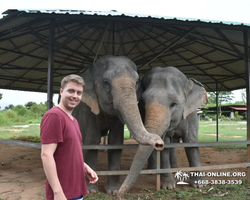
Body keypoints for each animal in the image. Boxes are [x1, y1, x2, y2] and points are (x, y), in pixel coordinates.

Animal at [71, 54, 164, 194]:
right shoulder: (86, 107)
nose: (159, 143)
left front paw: (113, 191)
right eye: (106, 83)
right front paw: (91, 191)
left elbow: (115, 140)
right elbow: (92, 139)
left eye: (137, 82)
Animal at [117, 66, 209, 199]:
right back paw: (153, 171)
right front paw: (168, 186)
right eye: (143, 102)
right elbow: (165, 145)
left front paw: (199, 185)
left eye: (174, 104)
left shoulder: (191, 115)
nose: (119, 196)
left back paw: (175, 169)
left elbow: (191, 143)